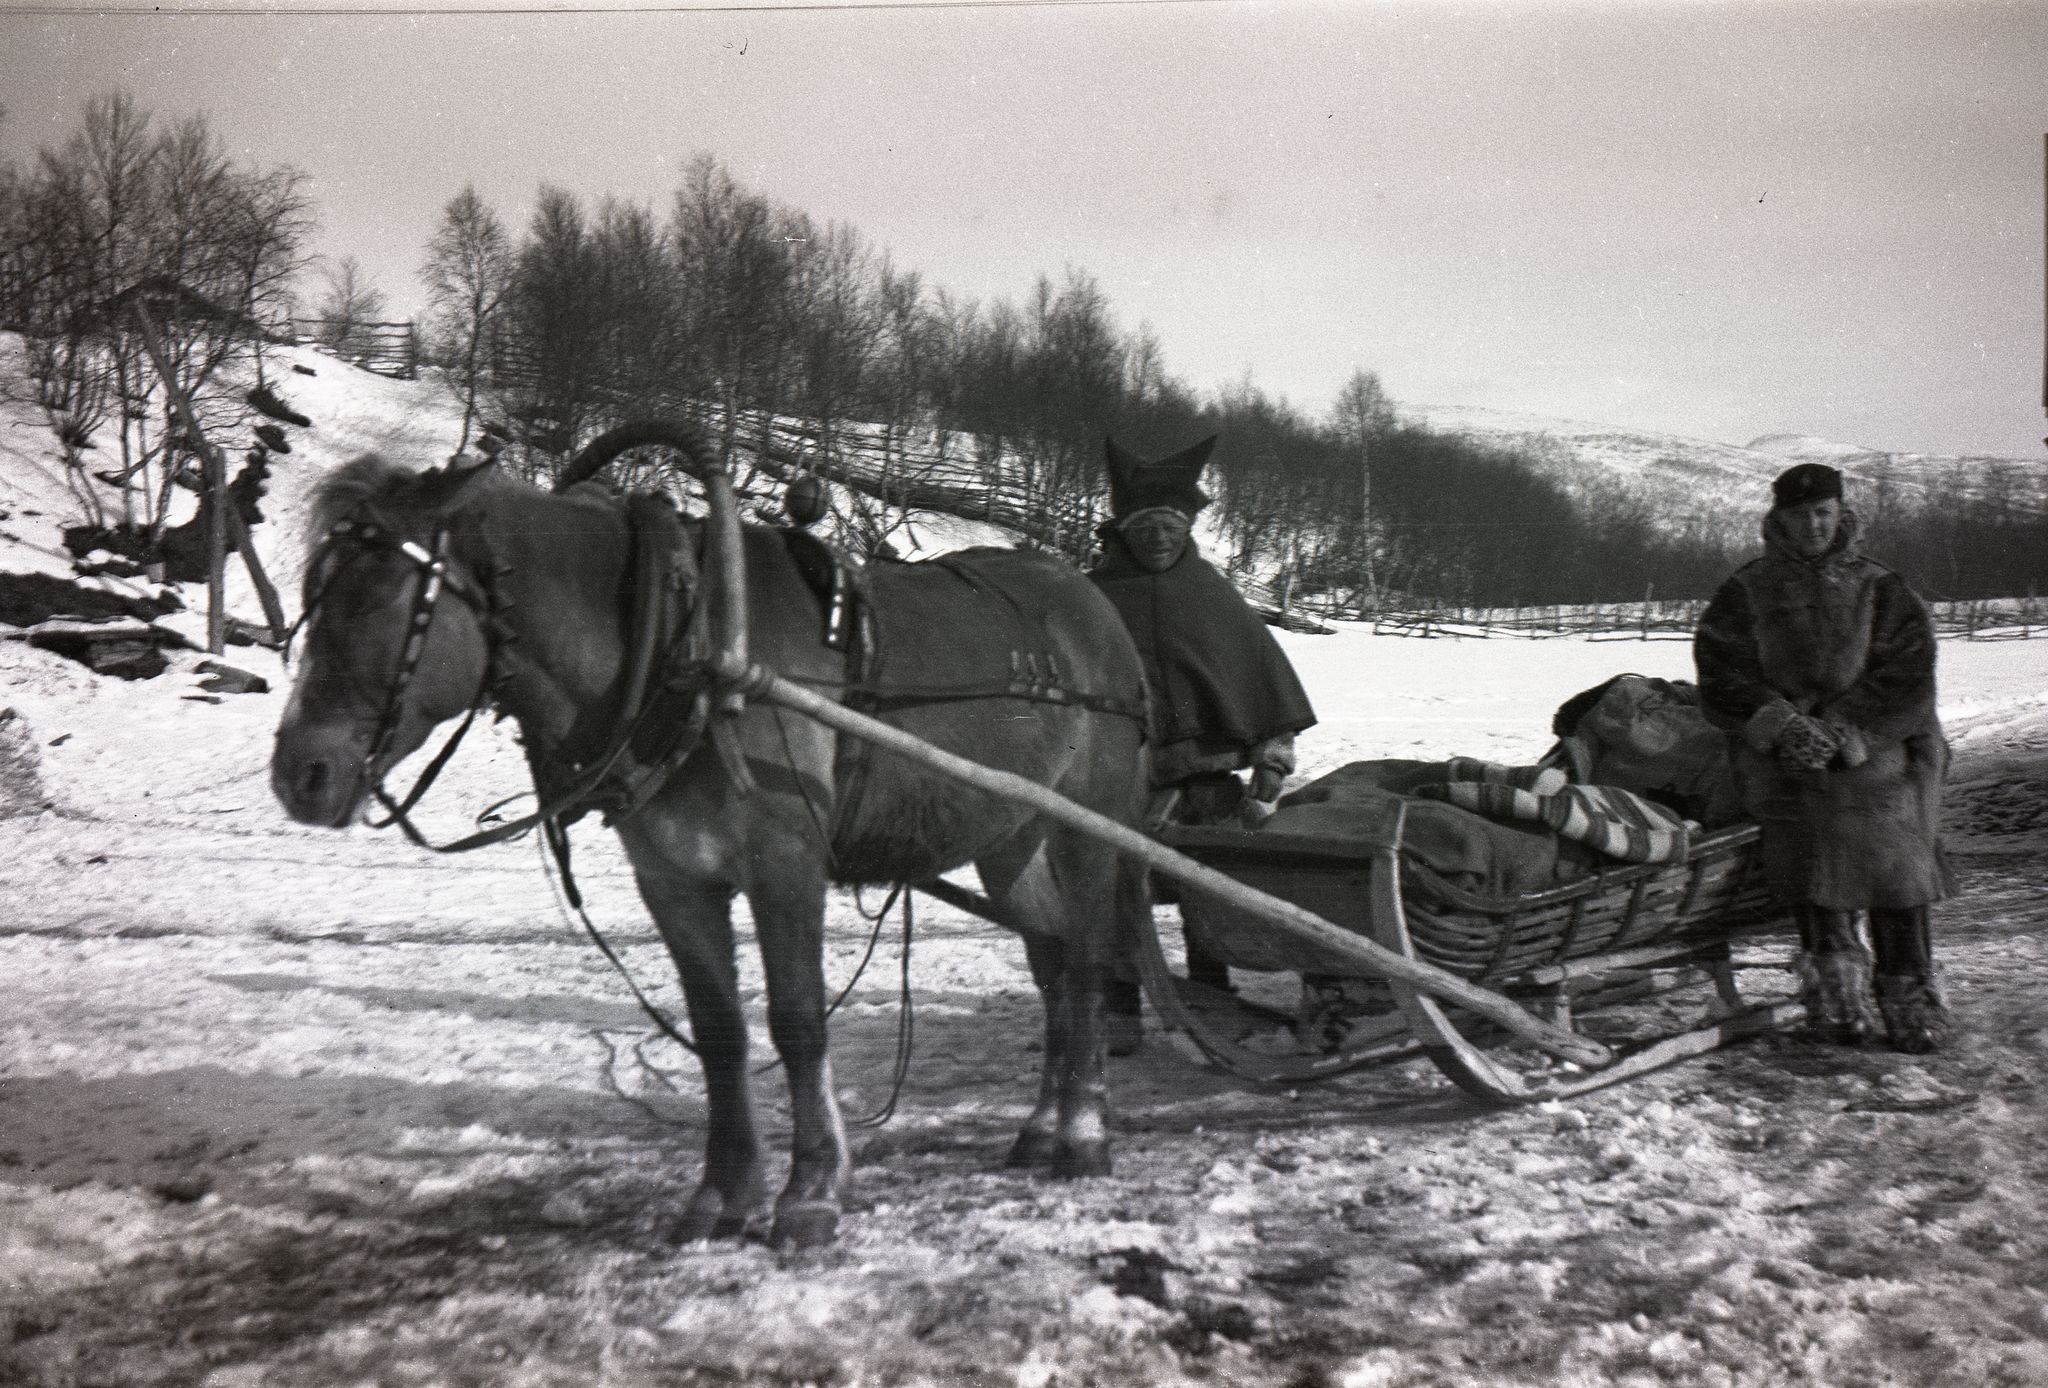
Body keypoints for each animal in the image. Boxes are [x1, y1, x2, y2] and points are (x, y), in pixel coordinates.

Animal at [268, 423, 1155, 1252]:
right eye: (316, 593)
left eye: (382, 595)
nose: (300, 774)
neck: (686, 650)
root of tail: (1091, 601)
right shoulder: (673, 878)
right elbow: (719, 1033)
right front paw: (722, 1198)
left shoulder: (785, 864)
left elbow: (798, 1022)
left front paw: (811, 1193)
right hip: (1012, 837)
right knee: (1050, 960)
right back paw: (1039, 1126)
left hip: (1087, 828)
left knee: (1084, 964)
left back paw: (1082, 1136)